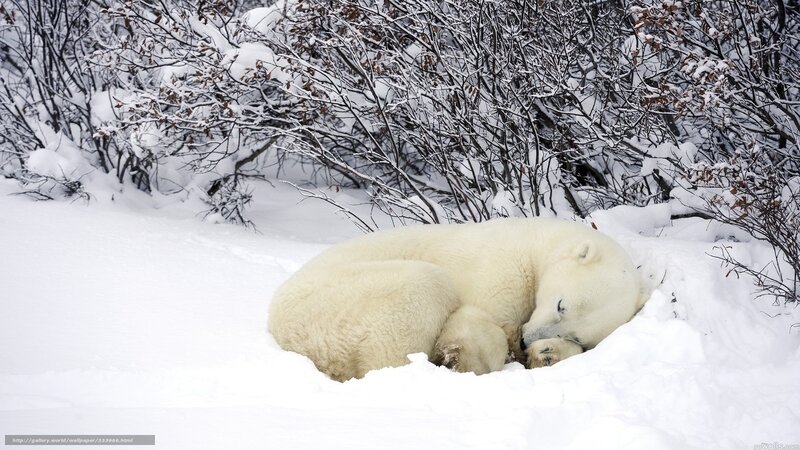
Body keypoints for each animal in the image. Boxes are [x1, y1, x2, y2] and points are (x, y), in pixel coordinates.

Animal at [268, 218, 645, 381]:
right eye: (560, 304)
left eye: (576, 334)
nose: (527, 340)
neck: (537, 243)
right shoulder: (502, 267)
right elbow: (474, 319)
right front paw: (468, 357)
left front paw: (547, 354)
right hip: (340, 301)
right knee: (422, 289)